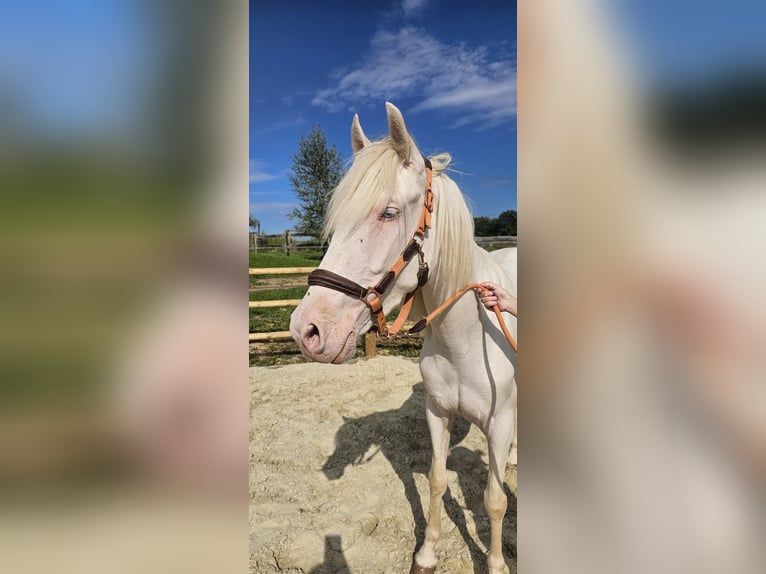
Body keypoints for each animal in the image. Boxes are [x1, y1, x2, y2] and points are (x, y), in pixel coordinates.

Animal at [292, 103, 520, 574]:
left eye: (389, 213)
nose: (307, 330)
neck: (463, 341)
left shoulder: (497, 424)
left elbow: (494, 500)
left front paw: (495, 564)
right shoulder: (437, 414)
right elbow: (435, 481)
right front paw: (426, 556)